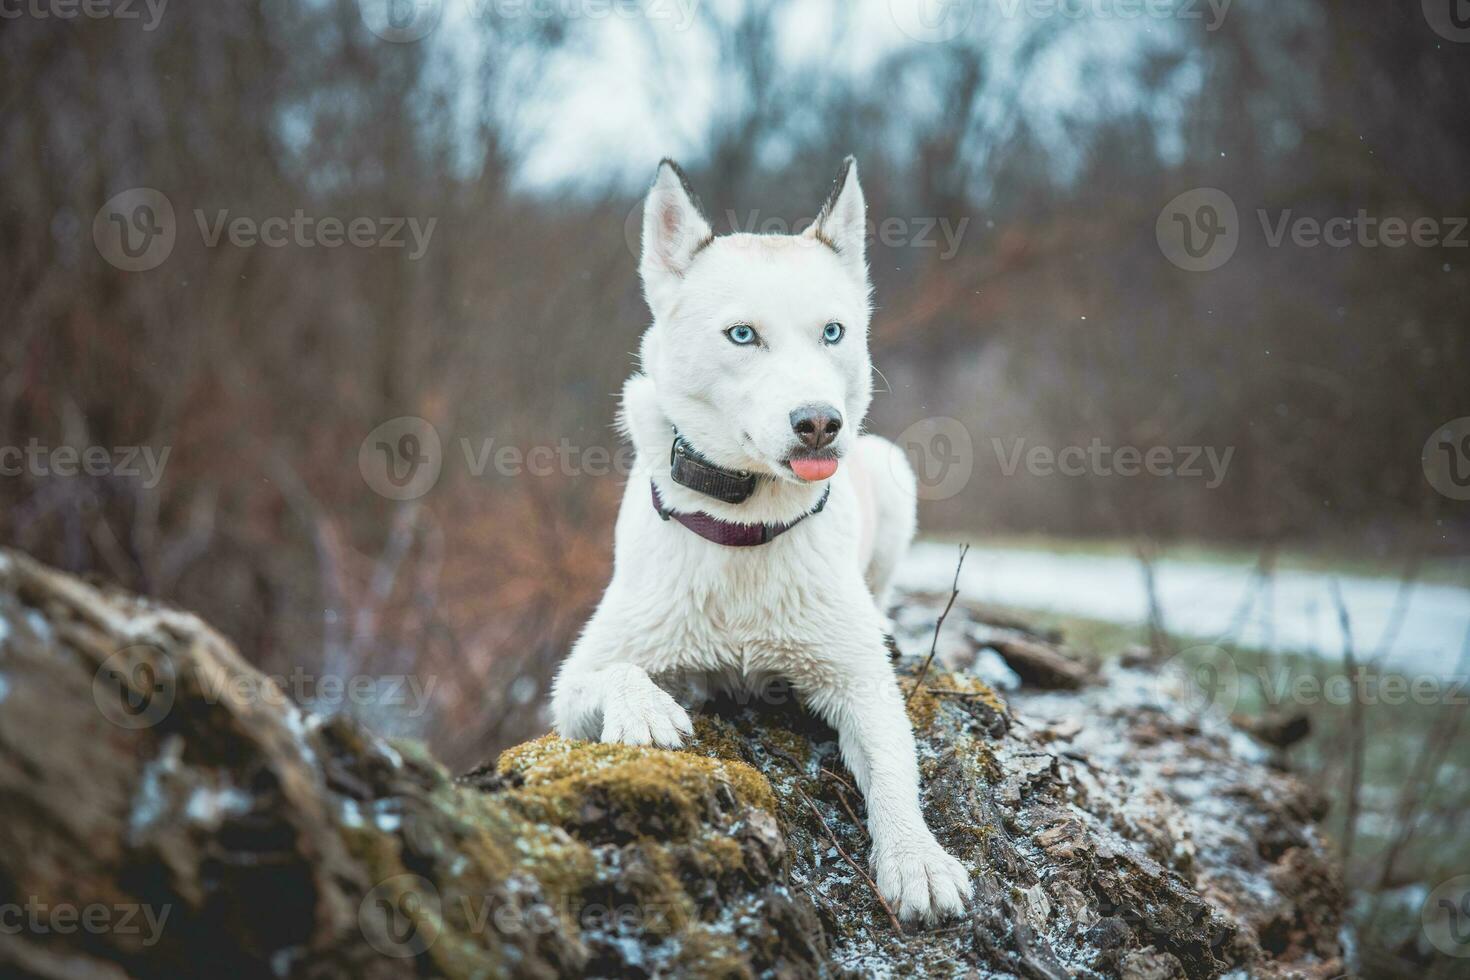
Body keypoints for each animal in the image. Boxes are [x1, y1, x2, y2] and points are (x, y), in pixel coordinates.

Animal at [546, 157, 970, 922]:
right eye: (743, 335)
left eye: (832, 332)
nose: (820, 423)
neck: (745, 527)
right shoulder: (571, 685)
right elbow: (613, 673)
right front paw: (645, 708)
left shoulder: (862, 683)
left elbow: (897, 771)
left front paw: (916, 857)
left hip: (893, 471)